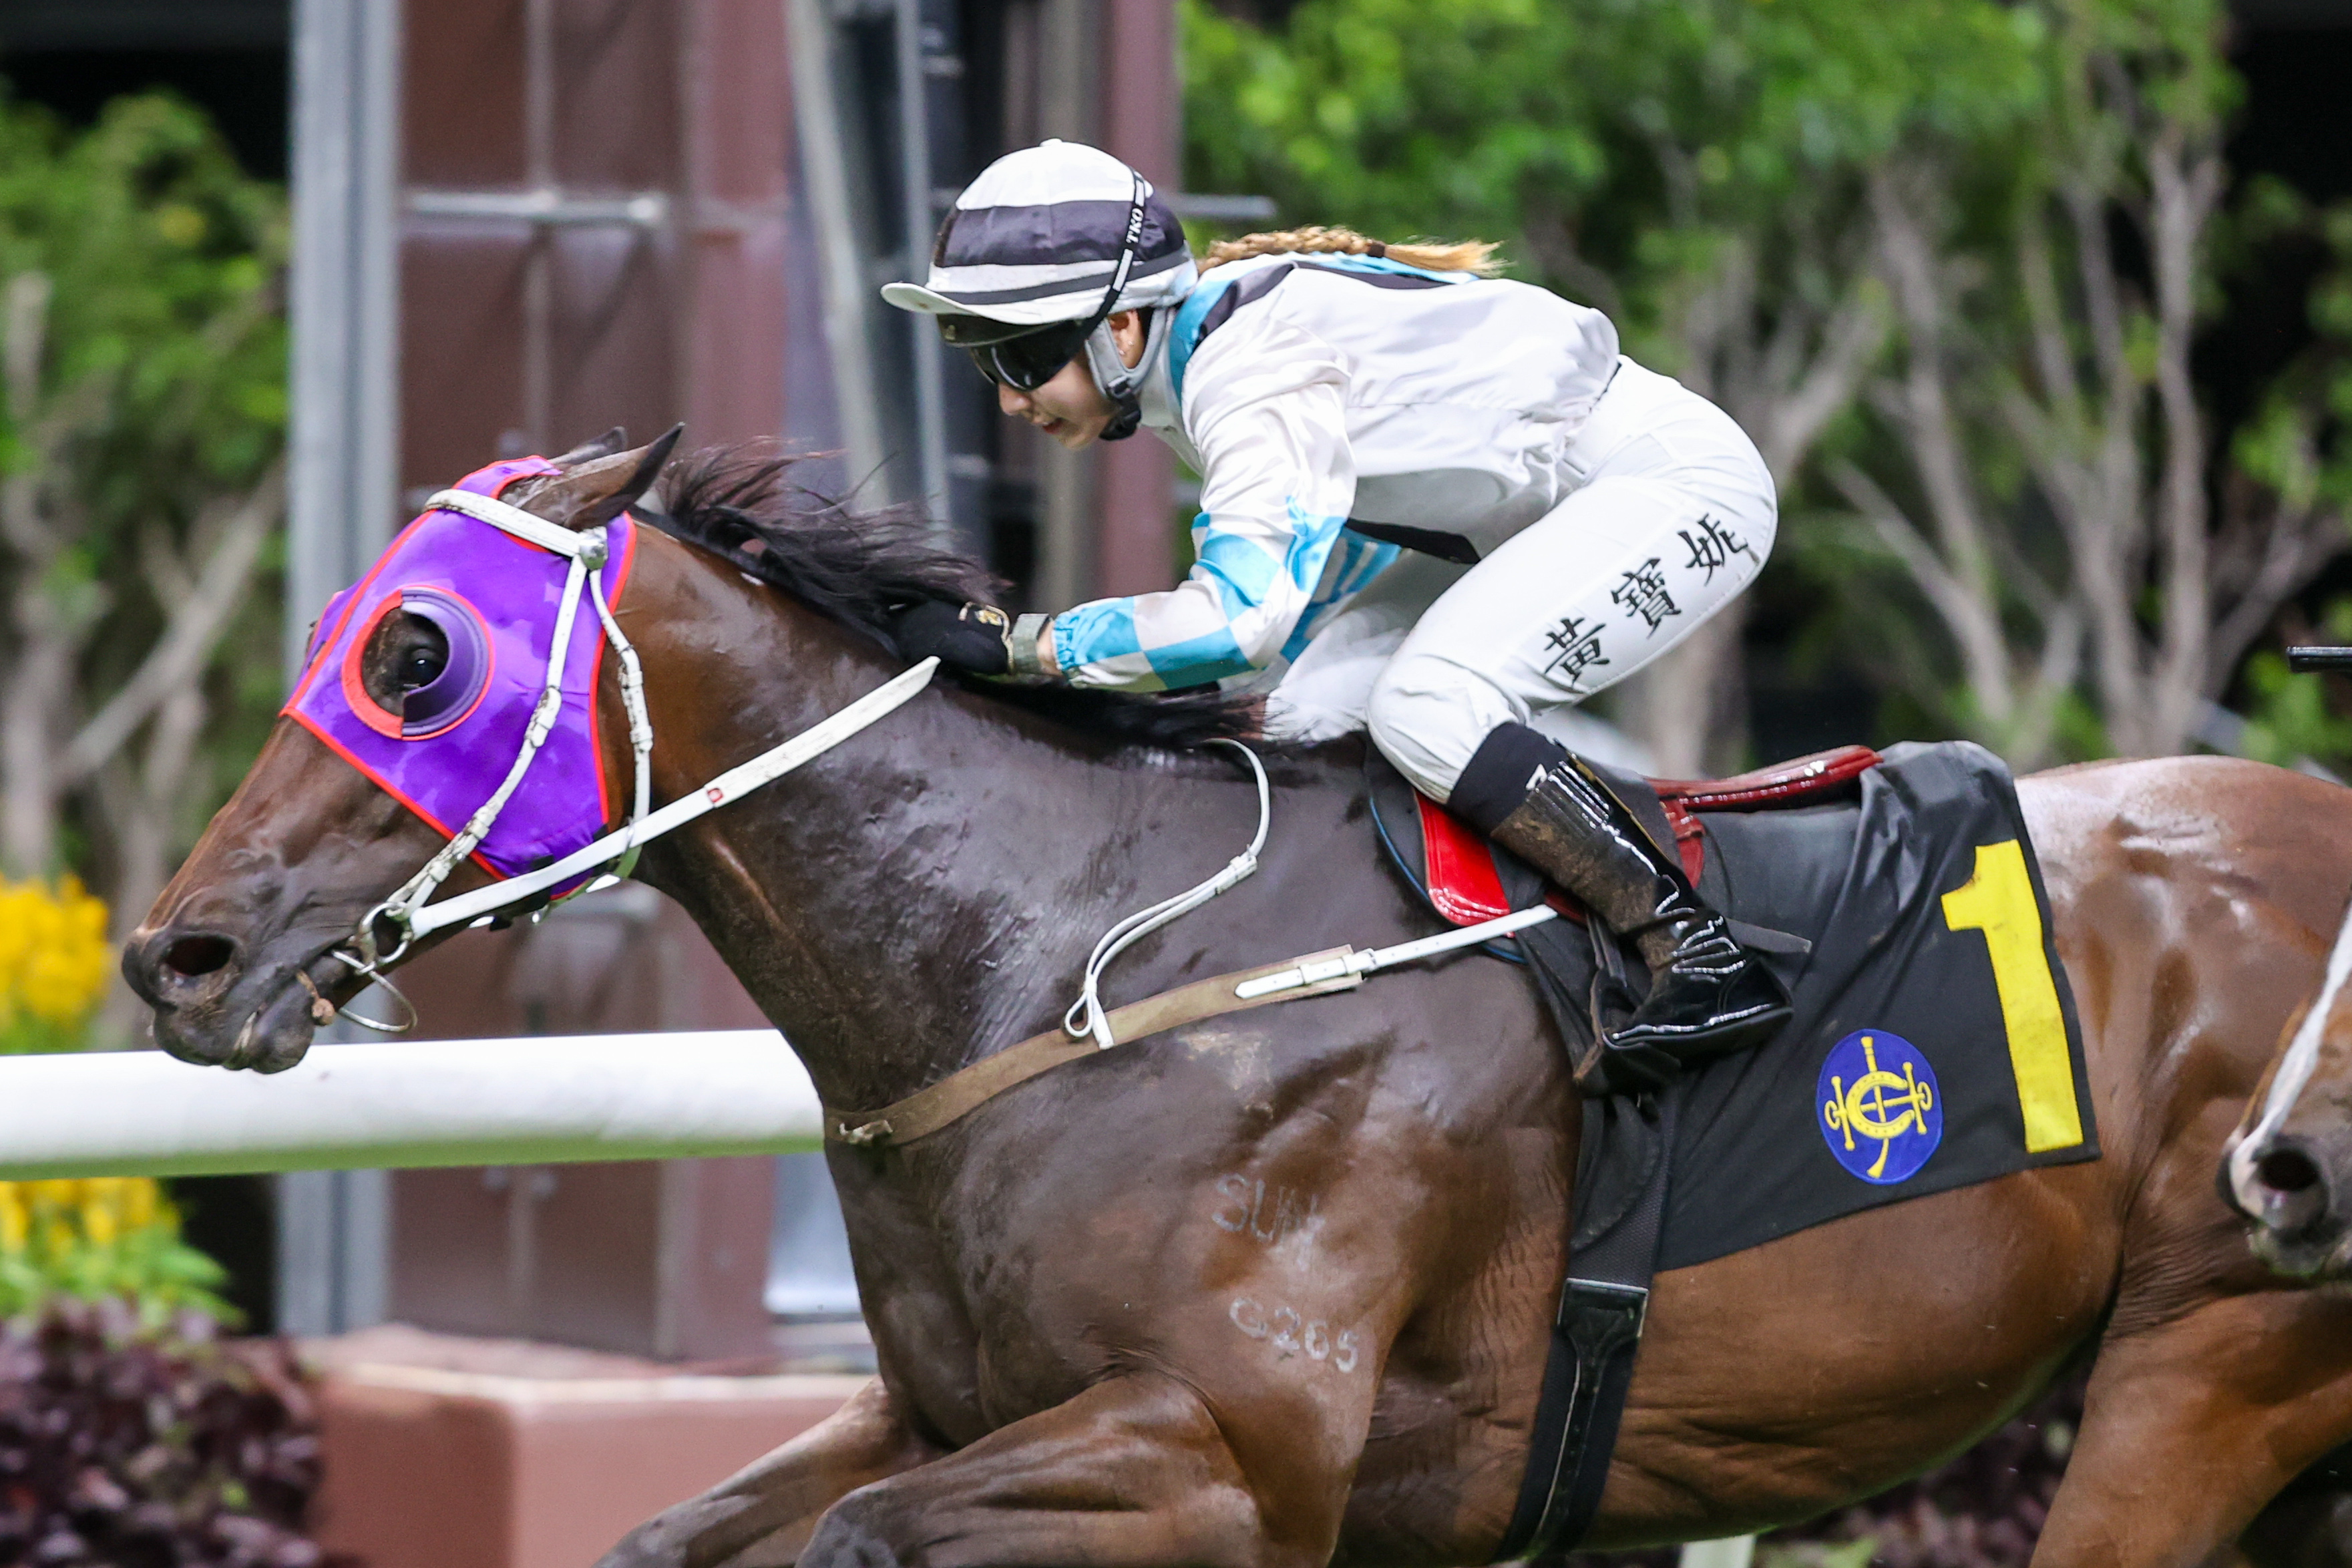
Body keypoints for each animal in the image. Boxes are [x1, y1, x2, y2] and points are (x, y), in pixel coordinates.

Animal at [123, 436, 2352, 1568]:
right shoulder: (943, 1405)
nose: (180, 952)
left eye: (412, 652)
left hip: (2206, 1366)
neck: (1066, 959)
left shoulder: (1231, 1445)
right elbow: (669, 1537)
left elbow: (866, 1543)